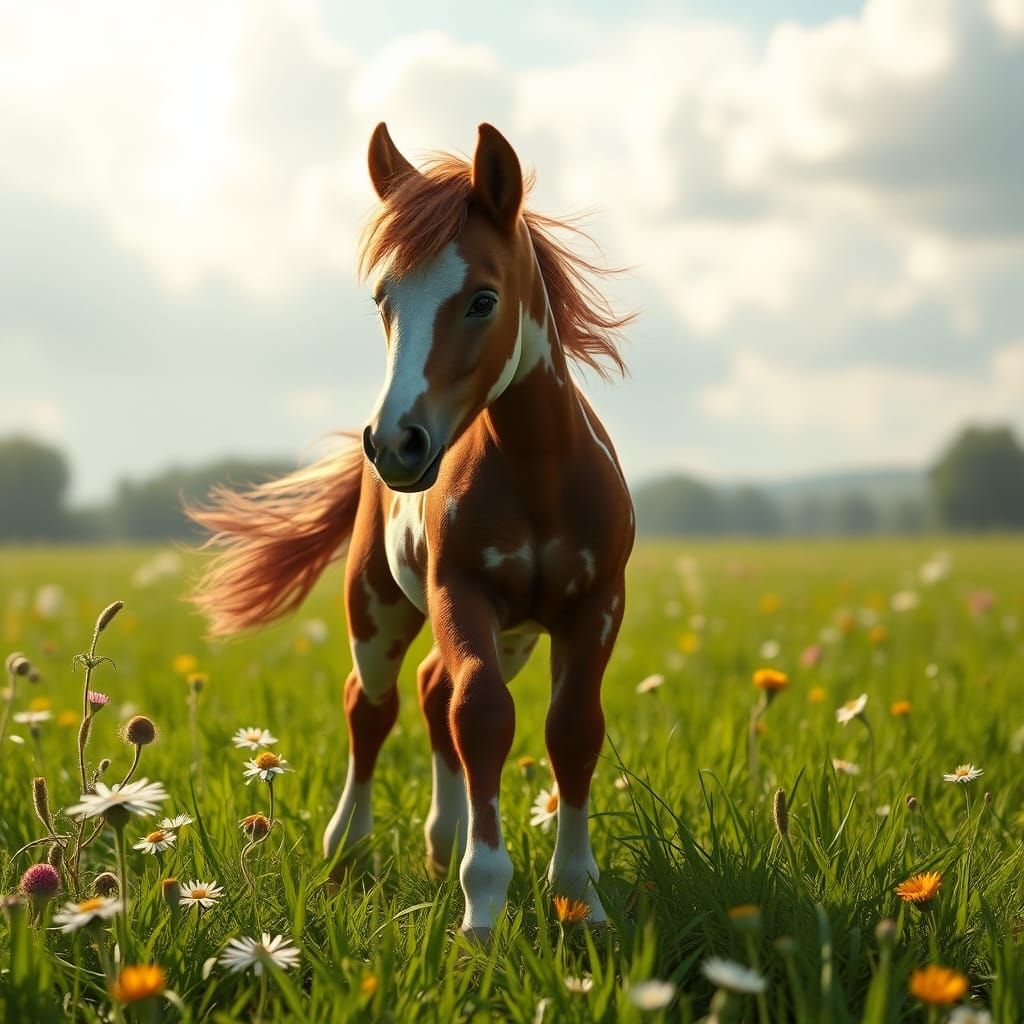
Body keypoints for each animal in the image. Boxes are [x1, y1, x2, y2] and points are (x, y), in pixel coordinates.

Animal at [189, 122, 635, 939]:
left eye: (482, 299)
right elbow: (481, 715)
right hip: (378, 606)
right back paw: (348, 852)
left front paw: (579, 899)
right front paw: (483, 905)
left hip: (516, 636)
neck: (540, 474)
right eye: (383, 300)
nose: (396, 442)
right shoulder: (463, 592)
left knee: (430, 688)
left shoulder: (594, 608)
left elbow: (572, 730)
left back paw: (440, 842)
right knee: (374, 704)